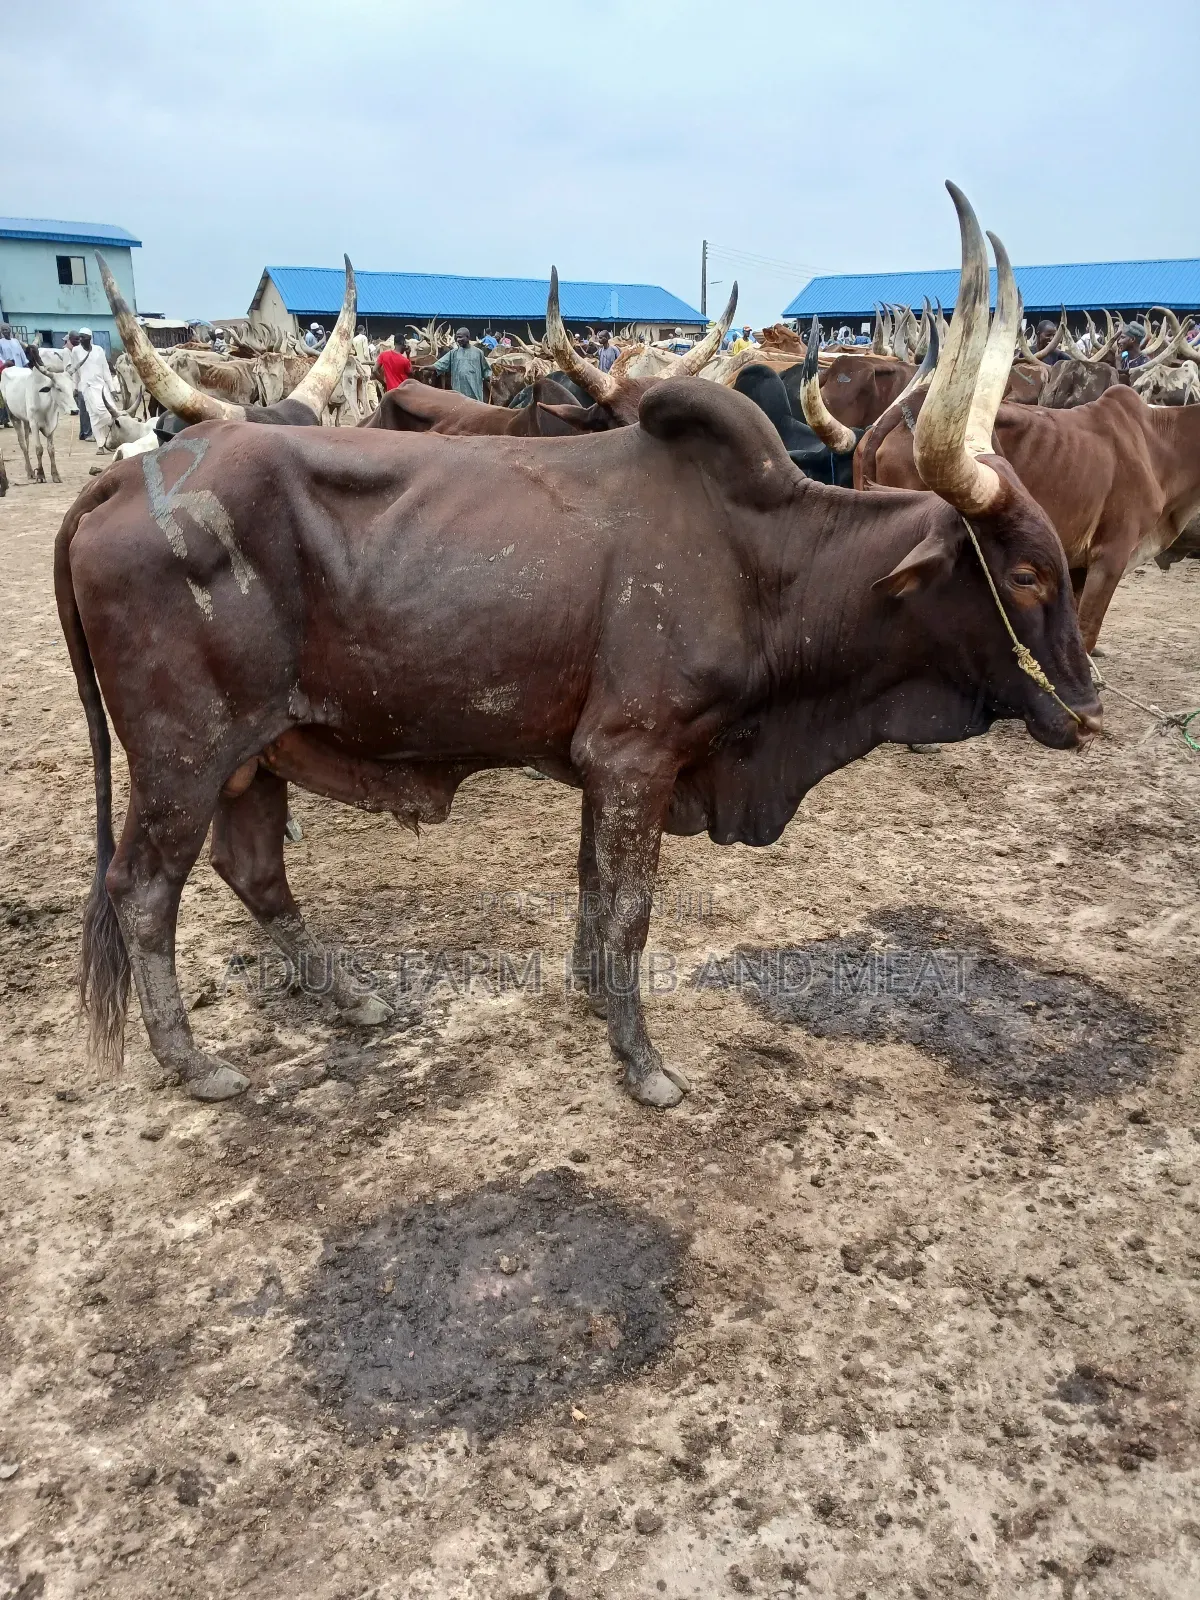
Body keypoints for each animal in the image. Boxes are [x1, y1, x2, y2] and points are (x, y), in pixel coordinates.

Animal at [0, 347, 74, 483]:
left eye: (72, 389)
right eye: (58, 388)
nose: (75, 411)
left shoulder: (52, 425)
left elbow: (51, 449)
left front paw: (55, 475)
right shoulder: (34, 424)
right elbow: (39, 449)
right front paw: (40, 475)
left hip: (26, 420)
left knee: (27, 441)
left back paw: (29, 470)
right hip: (13, 416)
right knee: (23, 444)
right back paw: (30, 472)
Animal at [57, 183, 1100, 1113]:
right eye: (1024, 575)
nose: (1088, 705)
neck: (761, 553)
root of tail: (126, 479)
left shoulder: (603, 767)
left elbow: (595, 891)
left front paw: (593, 1000)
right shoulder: (636, 756)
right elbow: (631, 910)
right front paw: (643, 1063)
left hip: (254, 755)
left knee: (252, 872)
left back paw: (350, 996)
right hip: (183, 758)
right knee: (141, 890)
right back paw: (194, 1062)